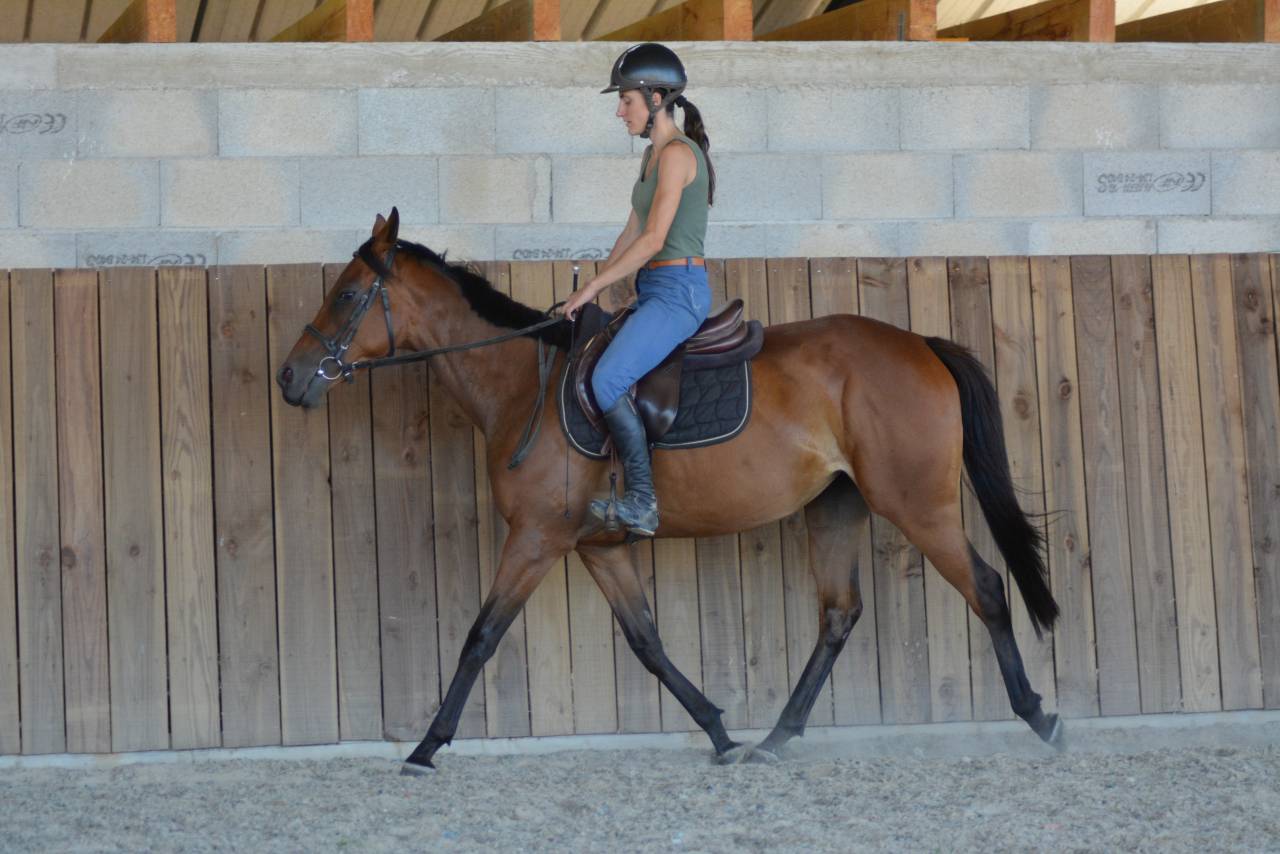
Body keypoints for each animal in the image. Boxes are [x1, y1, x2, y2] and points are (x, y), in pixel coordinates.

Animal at [277, 209, 1065, 774]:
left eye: (348, 295)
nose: (289, 378)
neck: (523, 385)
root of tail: (921, 343)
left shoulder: (535, 538)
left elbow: (481, 637)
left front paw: (426, 747)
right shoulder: (596, 546)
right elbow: (647, 642)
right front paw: (718, 733)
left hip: (918, 505)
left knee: (986, 588)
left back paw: (1039, 716)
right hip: (833, 508)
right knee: (839, 615)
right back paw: (774, 739)